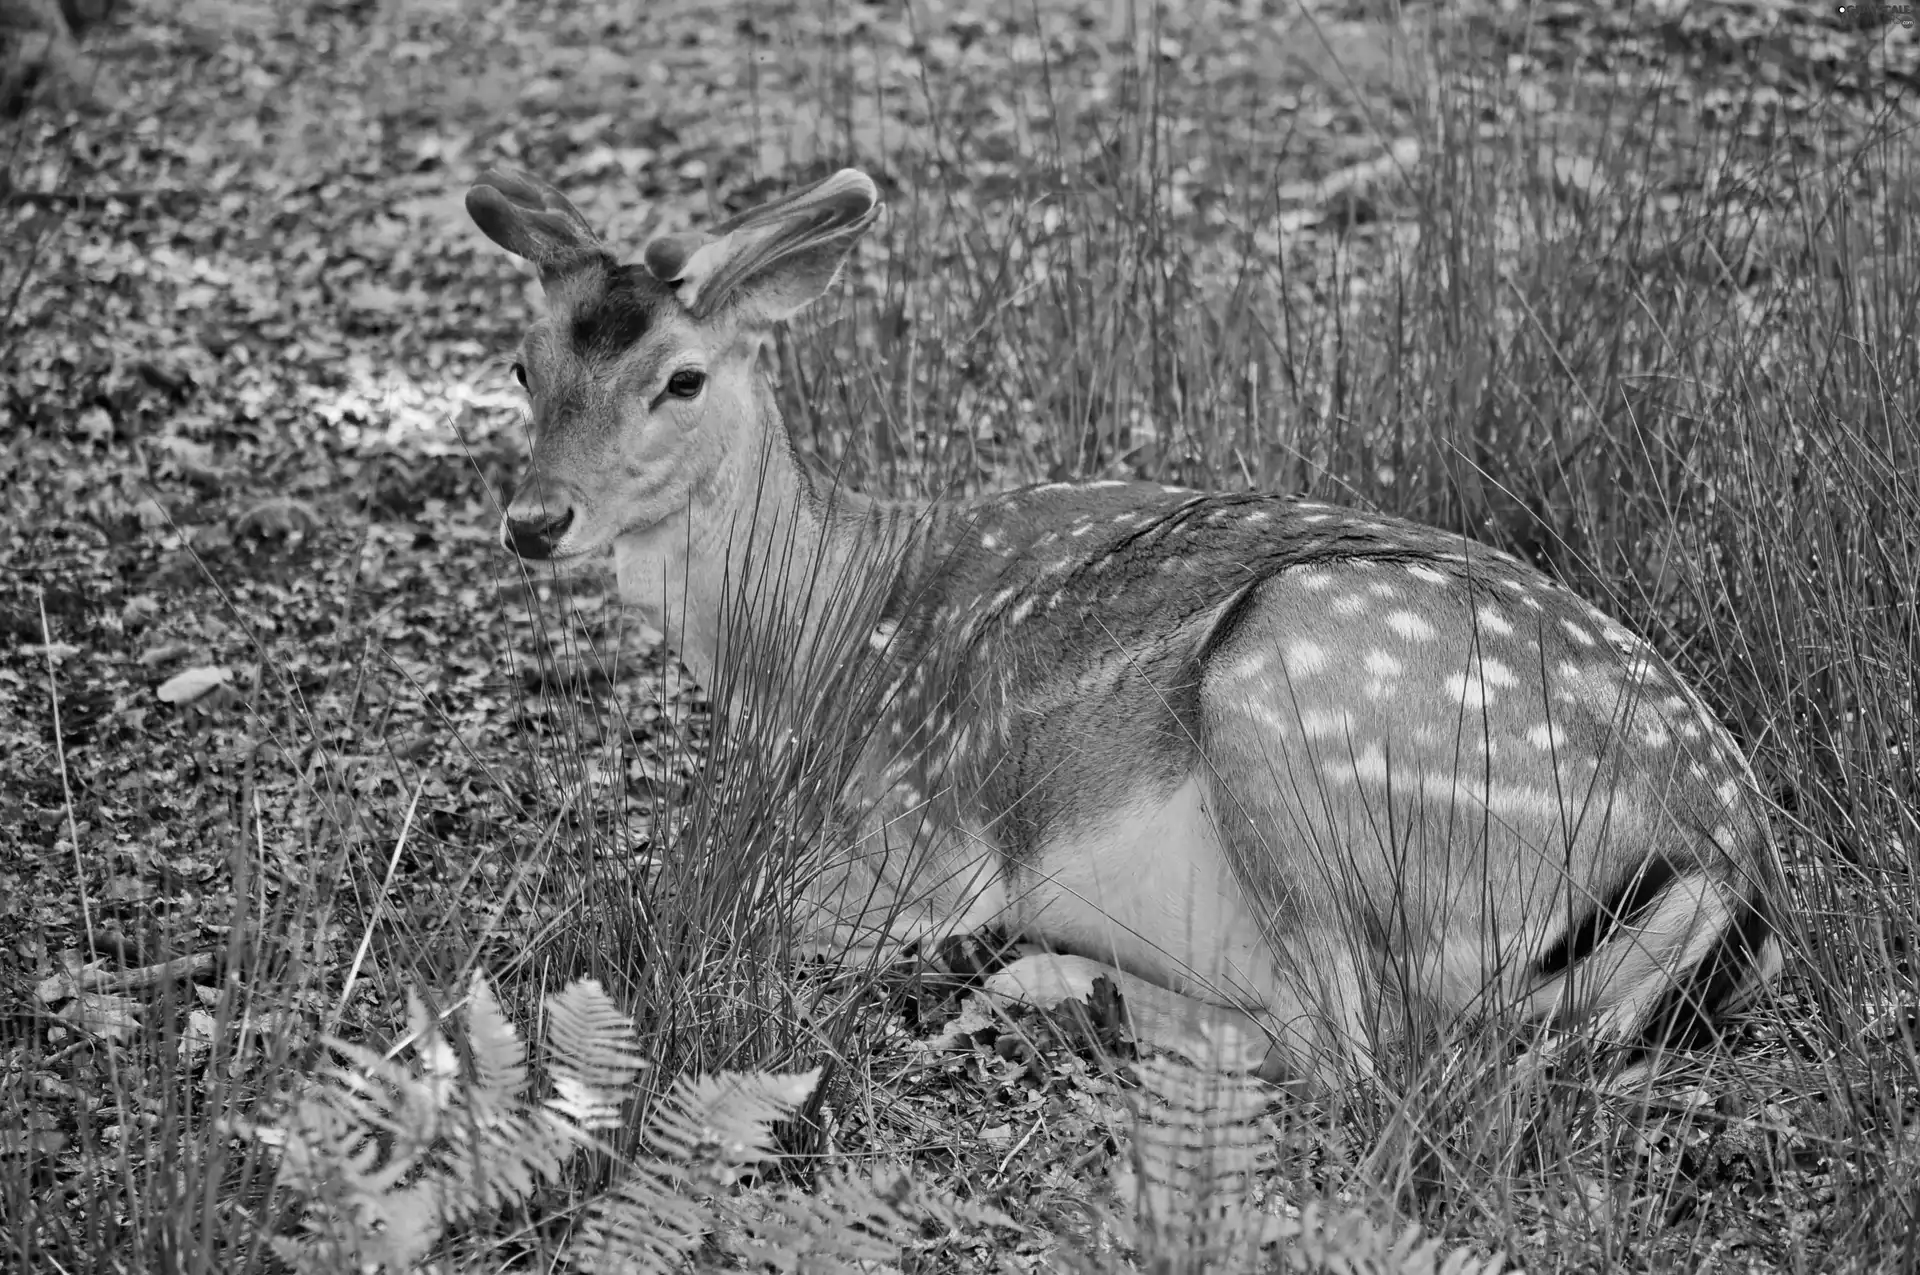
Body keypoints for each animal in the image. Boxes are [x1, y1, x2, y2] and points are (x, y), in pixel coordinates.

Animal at [464, 164, 1781, 1090]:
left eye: (680, 379)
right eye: (523, 367)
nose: (535, 519)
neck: (819, 638)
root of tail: (1721, 862)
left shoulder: (918, 838)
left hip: (1289, 697)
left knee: (1350, 1054)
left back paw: (1033, 988)